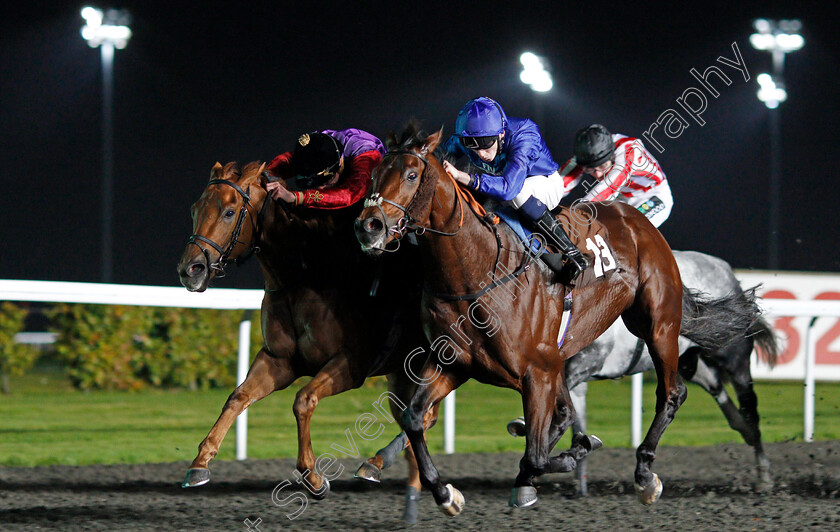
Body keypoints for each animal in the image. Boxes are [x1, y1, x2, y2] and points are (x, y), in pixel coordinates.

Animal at [178, 161, 436, 520]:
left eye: (229, 212)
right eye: (194, 209)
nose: (190, 270)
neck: (307, 273)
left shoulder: (352, 364)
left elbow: (303, 400)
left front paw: (313, 477)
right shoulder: (279, 361)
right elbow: (237, 397)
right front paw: (200, 464)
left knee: (423, 416)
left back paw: (379, 465)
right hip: (400, 372)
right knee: (412, 417)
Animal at [354, 125, 760, 516]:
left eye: (411, 174)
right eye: (373, 173)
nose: (368, 226)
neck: (478, 271)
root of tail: (638, 220)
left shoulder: (540, 370)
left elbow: (537, 453)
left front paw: (541, 472)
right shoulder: (456, 363)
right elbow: (415, 417)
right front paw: (441, 491)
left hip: (659, 325)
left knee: (676, 394)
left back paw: (652, 473)